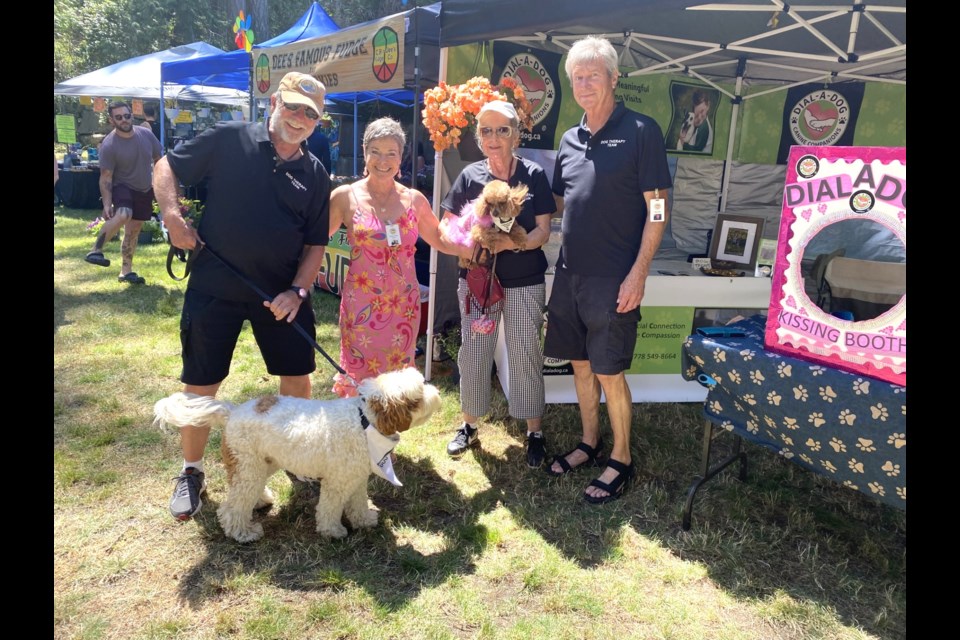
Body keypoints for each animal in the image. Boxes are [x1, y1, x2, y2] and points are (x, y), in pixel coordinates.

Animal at [154, 368, 442, 544]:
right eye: (417, 396)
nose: (437, 393)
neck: (363, 421)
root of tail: (232, 411)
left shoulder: (357, 478)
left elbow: (359, 503)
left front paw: (364, 520)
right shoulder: (338, 483)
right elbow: (329, 508)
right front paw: (333, 531)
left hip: (260, 464)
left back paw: (260, 501)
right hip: (249, 467)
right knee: (232, 507)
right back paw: (243, 533)